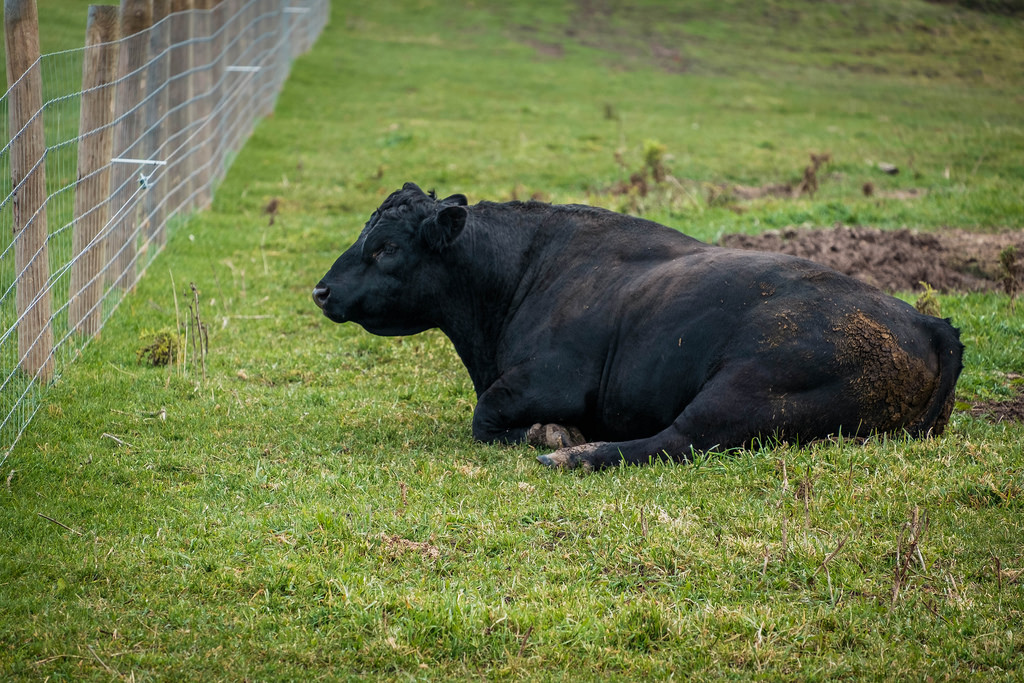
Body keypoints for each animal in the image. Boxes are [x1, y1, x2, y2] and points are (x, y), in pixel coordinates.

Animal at [309, 183, 958, 471]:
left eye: (386, 248)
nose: (321, 290)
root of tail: (925, 320)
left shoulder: (551, 378)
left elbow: (486, 414)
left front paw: (551, 434)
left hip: (751, 387)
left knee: (676, 441)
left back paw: (575, 455)